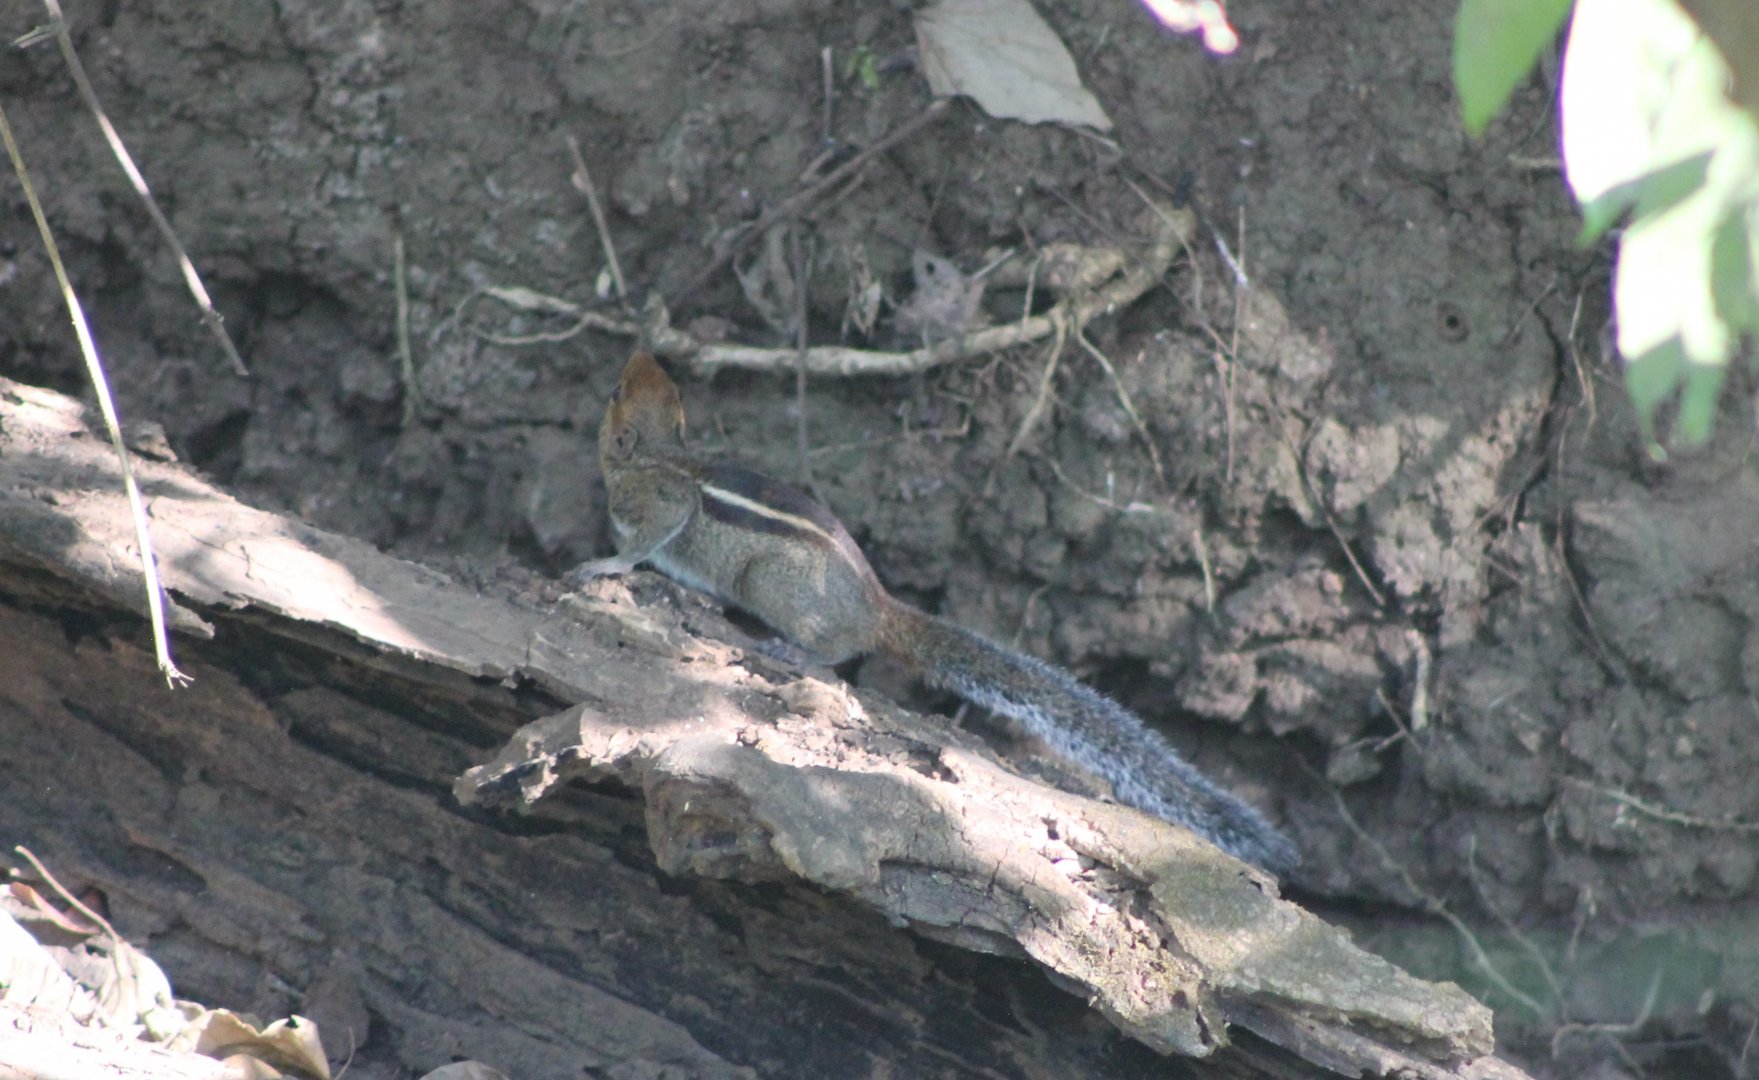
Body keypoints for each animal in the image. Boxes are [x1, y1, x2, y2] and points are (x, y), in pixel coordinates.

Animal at [570, 351, 1299, 874]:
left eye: (612, 397)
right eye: (641, 381)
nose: (633, 353)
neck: (662, 453)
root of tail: (880, 608)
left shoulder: (659, 505)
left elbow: (647, 538)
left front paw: (605, 564)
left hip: (775, 585)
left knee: (834, 652)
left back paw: (789, 649)